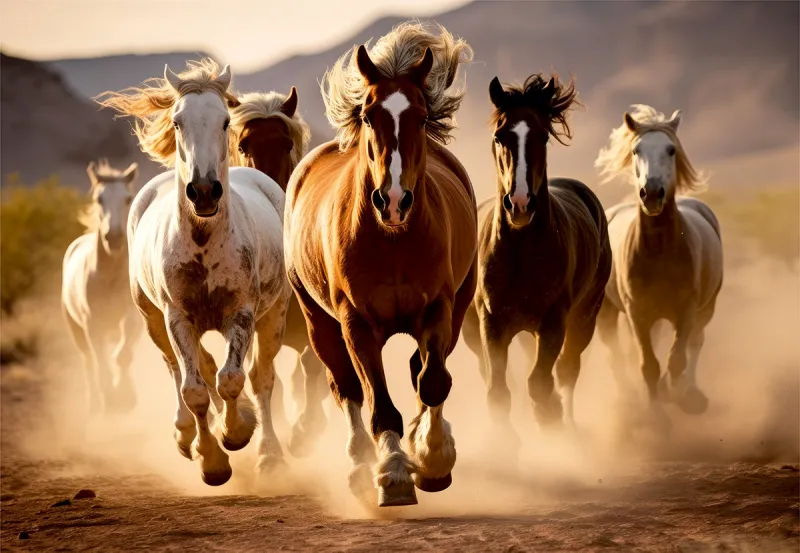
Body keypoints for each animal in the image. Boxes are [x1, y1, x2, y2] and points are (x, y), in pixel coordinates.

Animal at [62, 159, 141, 416]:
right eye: (99, 199)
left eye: (128, 198)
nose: (113, 237)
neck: (110, 278)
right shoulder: (92, 324)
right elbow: (101, 364)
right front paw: (113, 399)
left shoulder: (132, 317)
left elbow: (123, 355)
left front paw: (125, 396)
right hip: (77, 330)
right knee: (89, 364)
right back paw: (95, 407)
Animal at [96, 59, 292, 486]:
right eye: (177, 122)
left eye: (225, 121)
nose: (203, 191)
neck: (204, 245)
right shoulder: (178, 318)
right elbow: (195, 389)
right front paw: (212, 460)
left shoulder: (242, 314)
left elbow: (232, 379)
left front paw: (236, 432)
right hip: (153, 320)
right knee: (179, 369)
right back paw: (186, 433)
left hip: (274, 316)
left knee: (262, 377)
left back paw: (269, 452)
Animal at [284, 22, 476, 507]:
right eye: (369, 116)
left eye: (422, 117)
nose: (392, 200)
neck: (392, 241)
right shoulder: (356, 322)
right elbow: (378, 404)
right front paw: (393, 473)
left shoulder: (439, 308)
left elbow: (432, 380)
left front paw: (432, 458)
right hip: (319, 323)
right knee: (347, 388)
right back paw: (359, 467)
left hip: (459, 305)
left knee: (421, 371)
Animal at [461, 74, 612, 446]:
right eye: (500, 135)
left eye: (543, 136)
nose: (520, 204)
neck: (521, 253)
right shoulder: (492, 323)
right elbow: (498, 389)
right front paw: (506, 442)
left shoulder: (554, 321)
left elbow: (541, 382)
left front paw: (551, 424)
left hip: (584, 316)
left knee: (568, 369)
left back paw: (567, 422)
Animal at [594, 105, 723, 415]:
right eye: (636, 150)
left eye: (671, 149)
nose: (651, 193)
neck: (660, 252)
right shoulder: (637, 313)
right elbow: (648, 365)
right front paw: (655, 414)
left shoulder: (687, 310)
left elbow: (677, 359)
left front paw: (678, 396)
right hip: (609, 312)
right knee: (615, 351)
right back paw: (628, 397)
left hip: (706, 308)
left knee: (695, 343)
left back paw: (691, 391)